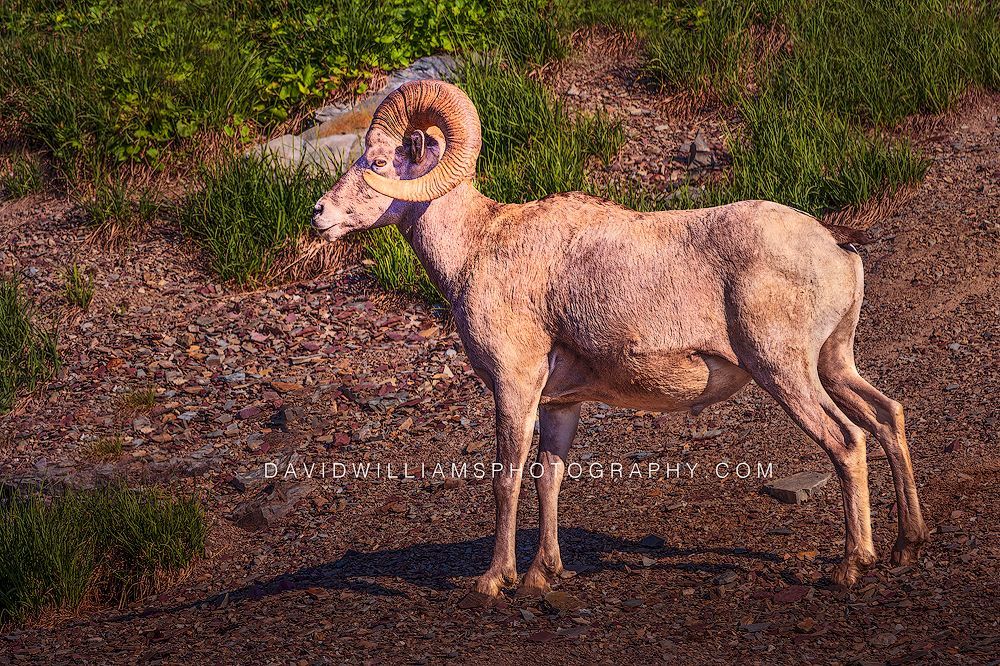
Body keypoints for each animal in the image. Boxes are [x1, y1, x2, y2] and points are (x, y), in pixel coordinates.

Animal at [312, 79, 929, 599]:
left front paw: (493, 581)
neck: (477, 248)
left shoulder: (514, 387)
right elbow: (549, 480)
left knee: (847, 441)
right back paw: (908, 545)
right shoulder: (560, 403)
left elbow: (506, 481)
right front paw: (542, 575)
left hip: (785, 371)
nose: (319, 213)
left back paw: (852, 565)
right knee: (887, 417)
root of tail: (838, 249)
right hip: (833, 364)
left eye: (377, 161)